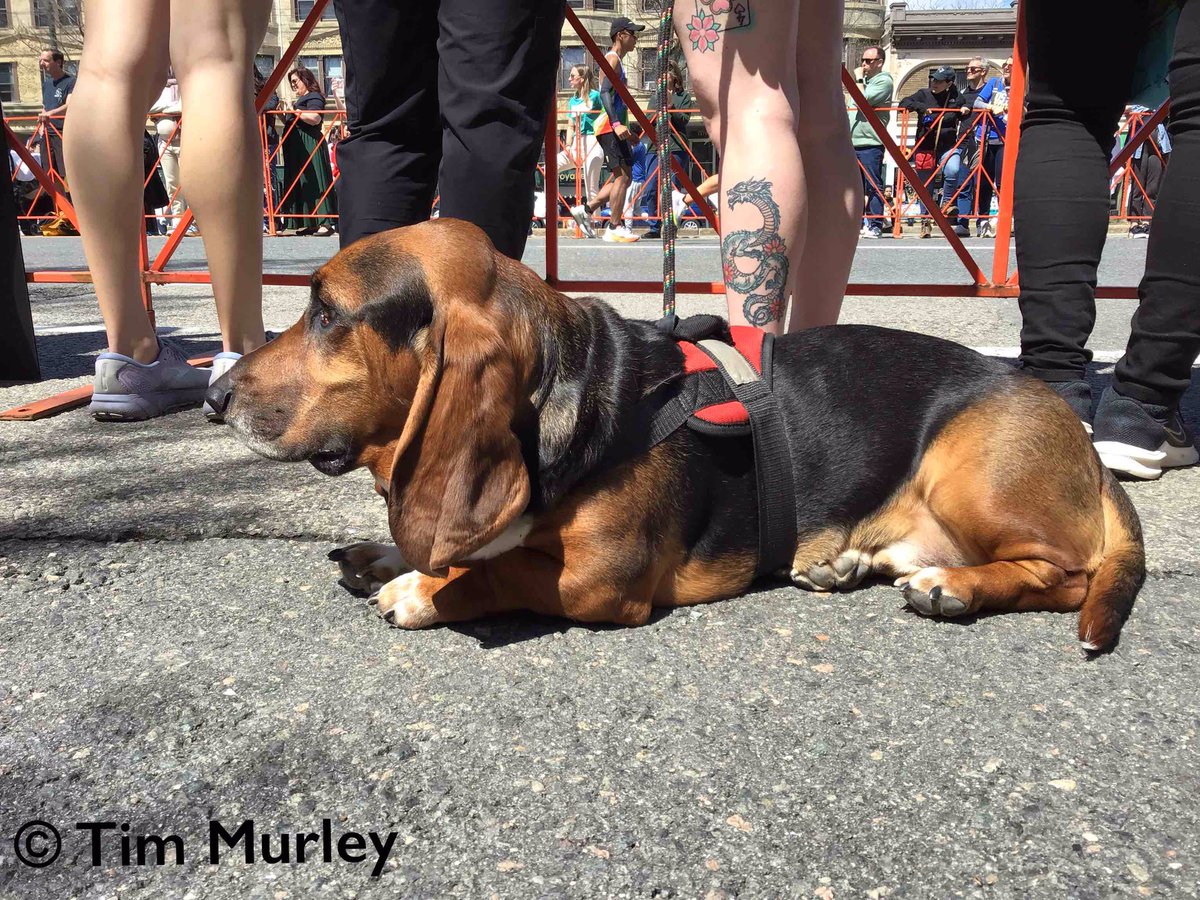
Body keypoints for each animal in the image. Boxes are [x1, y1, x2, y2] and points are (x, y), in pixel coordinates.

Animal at [206, 218, 1142, 657]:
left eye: (328, 314)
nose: (214, 396)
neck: (576, 389)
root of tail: (1077, 434)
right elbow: (465, 540)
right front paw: (390, 554)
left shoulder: (599, 582)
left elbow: (496, 569)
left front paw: (424, 588)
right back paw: (845, 564)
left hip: (966, 471)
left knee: (1066, 575)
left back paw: (956, 588)